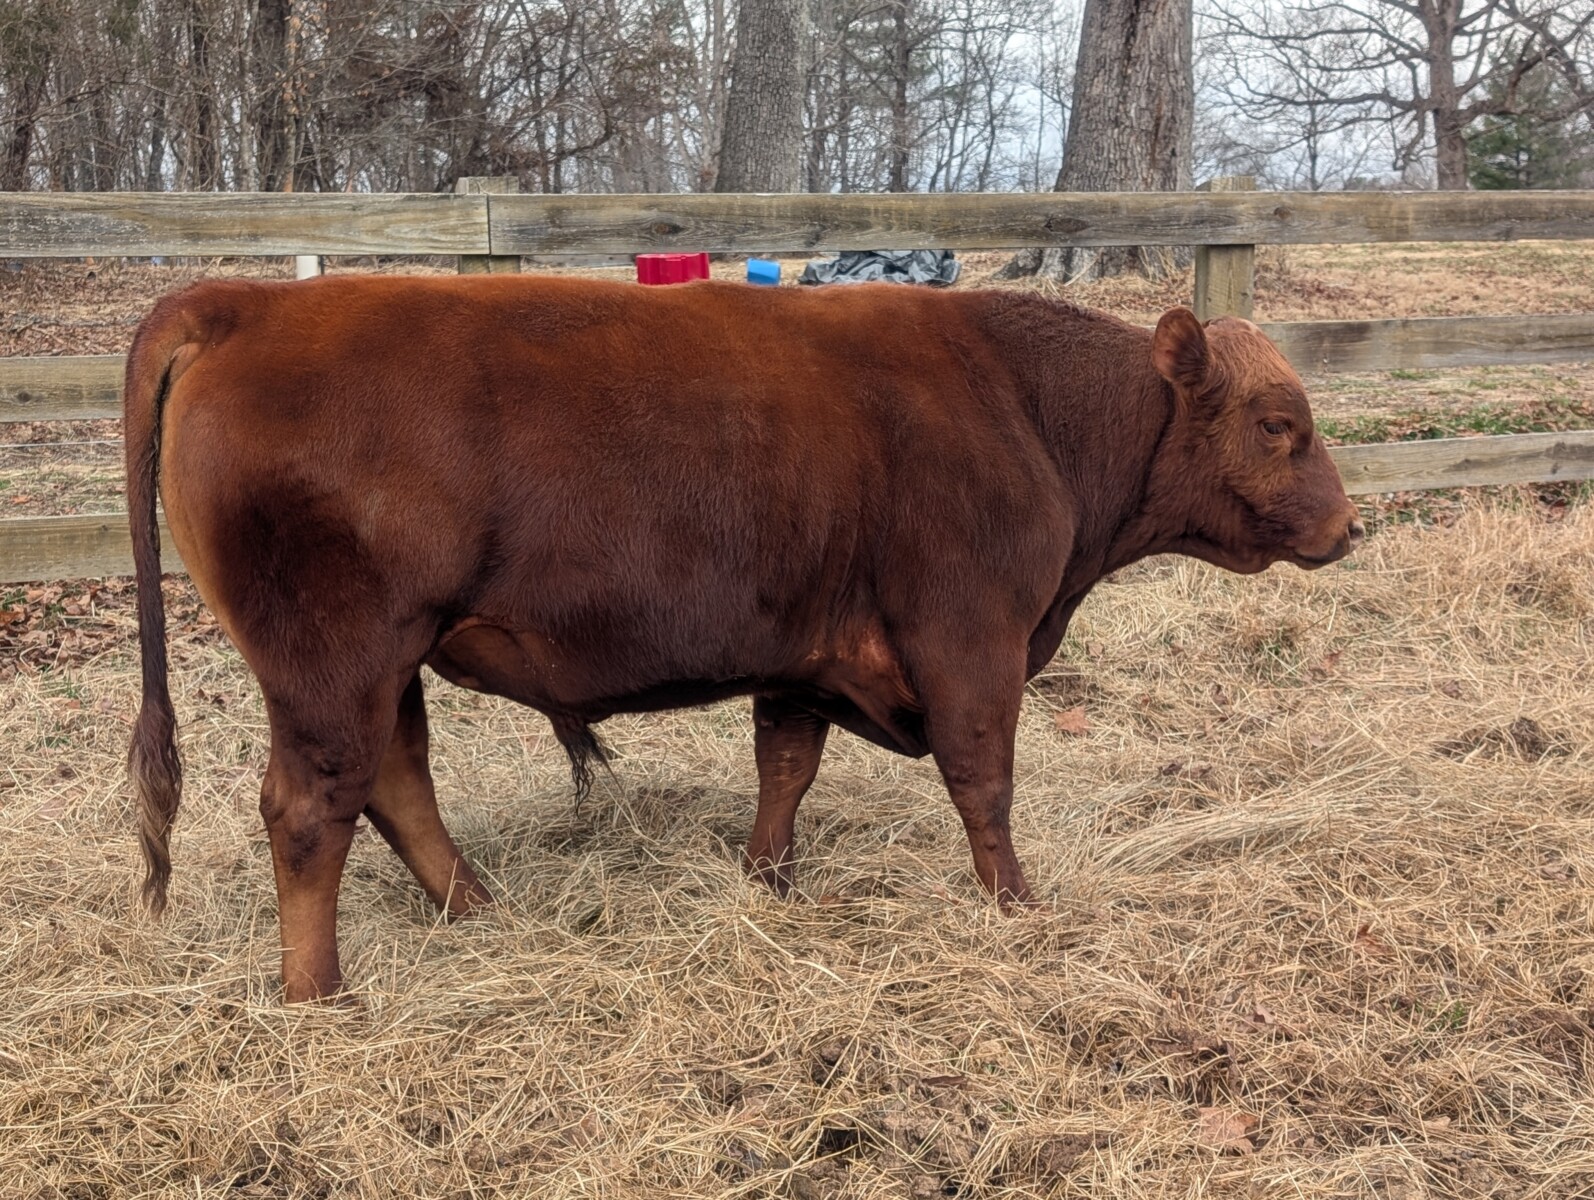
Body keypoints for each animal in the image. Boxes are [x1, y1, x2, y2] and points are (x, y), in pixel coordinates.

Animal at [124, 274, 1362, 1002]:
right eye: (1276, 424)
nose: (1351, 527)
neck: (1027, 407)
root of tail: (243, 299)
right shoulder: (972, 638)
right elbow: (984, 779)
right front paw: (1016, 905)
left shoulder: (808, 652)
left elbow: (785, 766)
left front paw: (769, 881)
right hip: (335, 656)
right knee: (310, 810)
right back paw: (319, 993)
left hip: (386, 664)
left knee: (395, 781)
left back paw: (477, 909)